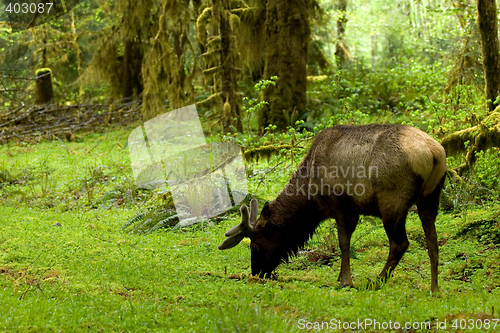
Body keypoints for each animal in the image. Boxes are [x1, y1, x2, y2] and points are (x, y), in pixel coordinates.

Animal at [218, 123, 446, 290]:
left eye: (254, 246)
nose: (256, 272)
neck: (310, 195)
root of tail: (435, 153)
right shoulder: (353, 210)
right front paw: (340, 277)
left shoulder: (339, 204)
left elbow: (343, 243)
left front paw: (345, 280)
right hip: (430, 198)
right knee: (432, 241)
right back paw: (434, 288)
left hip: (392, 199)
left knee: (400, 243)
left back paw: (376, 281)